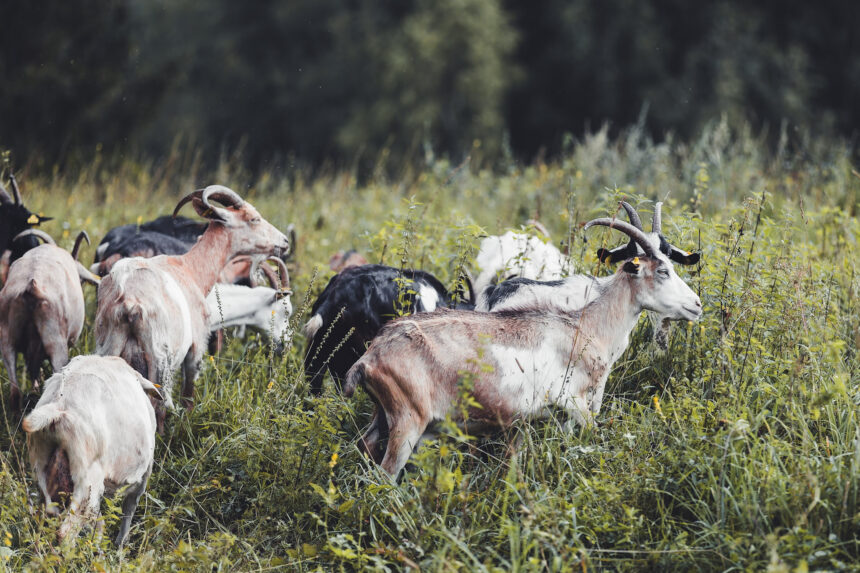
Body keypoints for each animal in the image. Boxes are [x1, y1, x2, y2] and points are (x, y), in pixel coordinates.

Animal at [23, 354, 161, 544]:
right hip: (87, 481)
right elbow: (129, 510)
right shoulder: (144, 475)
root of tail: (58, 407)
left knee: (47, 518)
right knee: (66, 531)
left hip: (41, 472)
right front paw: (120, 547)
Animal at [94, 183, 288, 424]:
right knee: (158, 407)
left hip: (108, 349)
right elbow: (188, 396)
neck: (190, 267)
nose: (284, 241)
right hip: (161, 362)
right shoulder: (197, 345)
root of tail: (128, 304)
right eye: (254, 219)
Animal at [340, 217, 704, 476]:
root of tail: (369, 358)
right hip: (407, 421)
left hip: (383, 416)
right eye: (662, 270)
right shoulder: (575, 404)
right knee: (386, 473)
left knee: (365, 447)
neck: (586, 325)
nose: (697, 305)